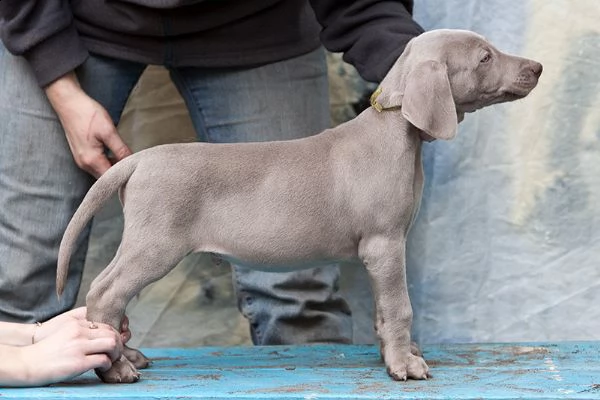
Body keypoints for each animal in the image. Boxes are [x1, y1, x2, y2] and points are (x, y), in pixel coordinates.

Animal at [57, 29, 544, 382]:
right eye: (485, 57)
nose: (537, 67)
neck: (394, 131)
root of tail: (139, 159)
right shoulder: (385, 244)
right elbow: (400, 306)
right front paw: (405, 365)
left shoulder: (380, 252)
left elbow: (383, 310)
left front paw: (393, 354)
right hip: (156, 242)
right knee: (105, 292)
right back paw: (115, 367)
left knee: (114, 297)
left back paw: (128, 352)